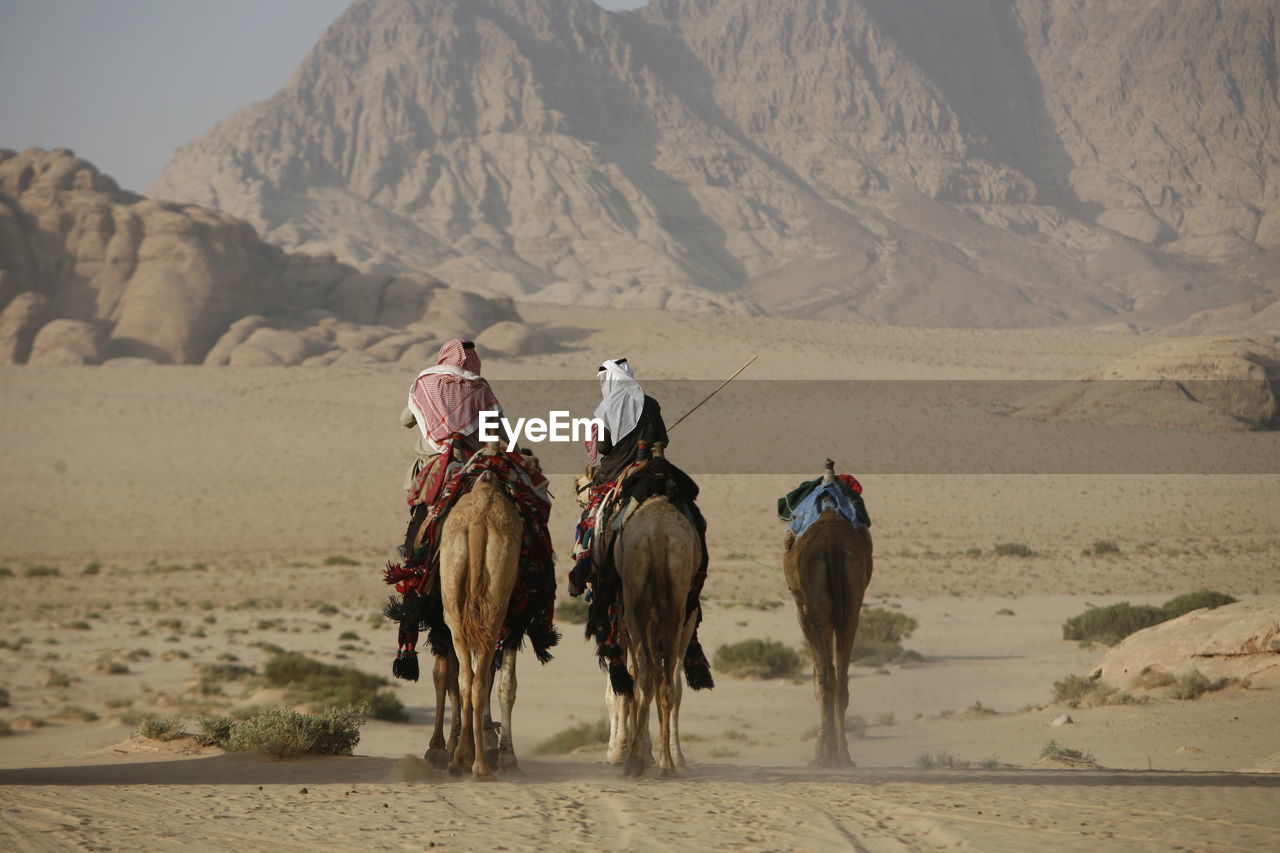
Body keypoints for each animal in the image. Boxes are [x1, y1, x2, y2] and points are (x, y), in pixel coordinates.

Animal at [435, 466, 524, 778]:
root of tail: (477, 523)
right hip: (490, 607)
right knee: (476, 678)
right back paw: (475, 762)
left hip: (456, 602)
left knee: (467, 678)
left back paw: (465, 760)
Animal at [783, 458, 875, 763]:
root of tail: (832, 542)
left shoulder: (801, 609)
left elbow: (818, 677)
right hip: (851, 606)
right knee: (841, 679)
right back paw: (844, 756)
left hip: (815, 610)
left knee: (825, 678)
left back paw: (822, 755)